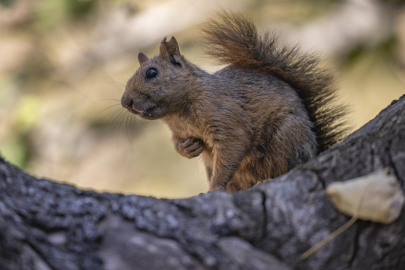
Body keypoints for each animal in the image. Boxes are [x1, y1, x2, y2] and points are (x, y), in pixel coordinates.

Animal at [120, 12, 348, 192]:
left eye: (151, 73)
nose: (125, 101)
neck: (179, 114)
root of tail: (315, 148)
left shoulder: (227, 119)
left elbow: (232, 148)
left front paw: (214, 189)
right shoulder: (179, 132)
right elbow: (178, 144)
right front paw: (187, 148)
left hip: (286, 138)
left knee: (287, 167)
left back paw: (265, 180)